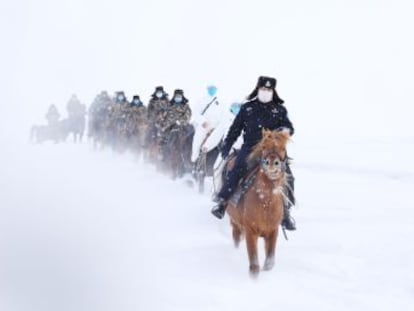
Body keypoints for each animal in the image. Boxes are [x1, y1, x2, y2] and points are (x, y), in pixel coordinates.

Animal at [225, 129, 290, 278]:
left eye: (283, 148)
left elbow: (269, 261)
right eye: (264, 146)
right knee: (236, 238)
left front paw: (266, 269)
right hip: (235, 223)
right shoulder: (250, 230)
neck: (265, 202)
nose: (272, 162)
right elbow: (254, 261)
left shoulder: (273, 231)